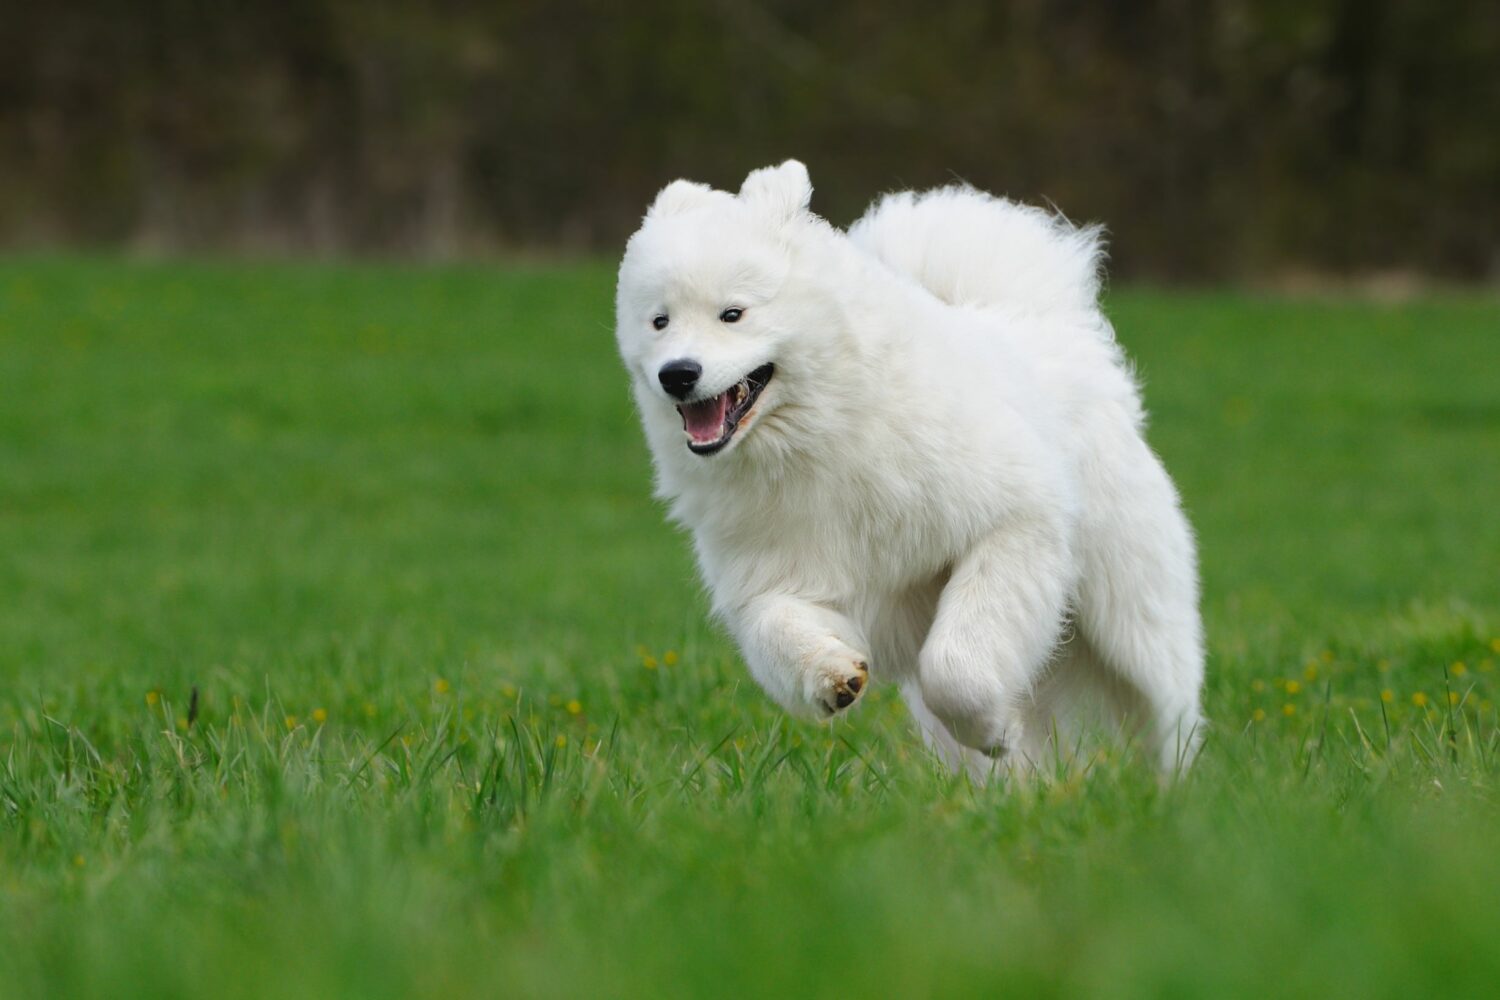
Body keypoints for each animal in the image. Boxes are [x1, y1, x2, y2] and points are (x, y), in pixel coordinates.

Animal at [612, 160, 1206, 779]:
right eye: (659, 322)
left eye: (733, 313)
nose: (677, 374)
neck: (822, 436)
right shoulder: (771, 579)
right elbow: (779, 630)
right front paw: (834, 675)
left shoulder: (1014, 524)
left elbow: (955, 666)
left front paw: (994, 728)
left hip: (1131, 626)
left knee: (1167, 719)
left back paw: (1168, 793)